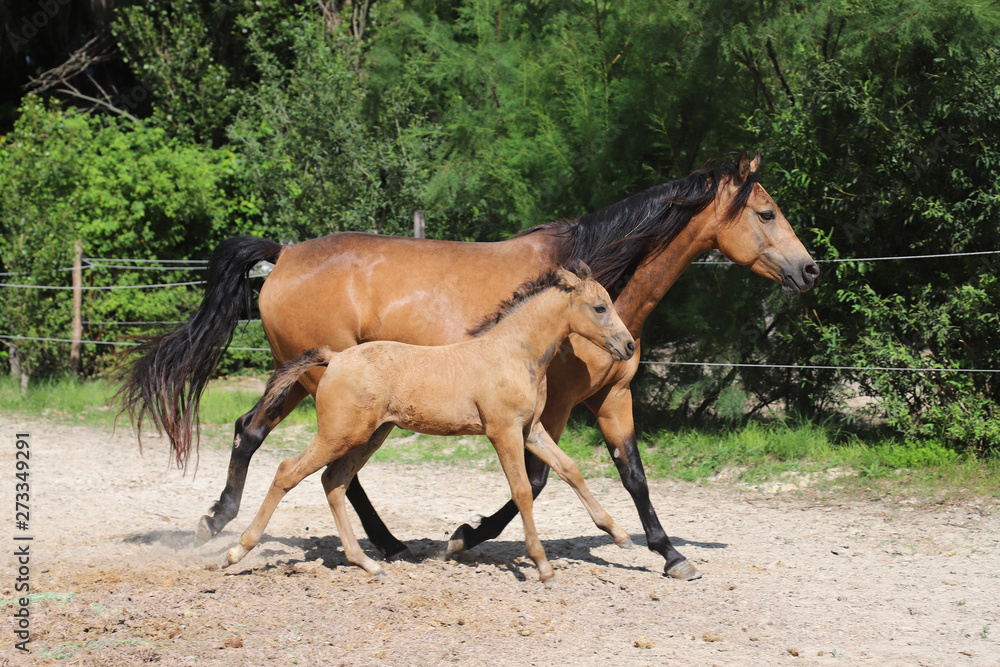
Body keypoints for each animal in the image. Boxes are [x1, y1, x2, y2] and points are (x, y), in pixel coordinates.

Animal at [223, 265, 635, 583]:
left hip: (369, 436)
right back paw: (236, 550)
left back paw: (368, 563)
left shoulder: (531, 430)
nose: (629, 345)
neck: (512, 354)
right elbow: (521, 490)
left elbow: (570, 470)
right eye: (600, 307)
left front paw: (620, 534)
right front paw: (543, 565)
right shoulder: (502, 432)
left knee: (333, 482)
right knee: (288, 471)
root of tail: (334, 358)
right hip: (339, 434)